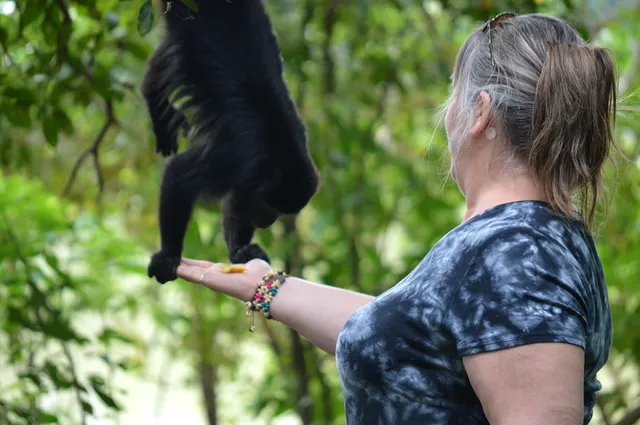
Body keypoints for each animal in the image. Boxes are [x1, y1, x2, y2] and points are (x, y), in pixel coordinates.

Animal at [141, 0, 320, 284]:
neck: (277, 157)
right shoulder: (234, 159)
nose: (268, 222)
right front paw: (168, 256)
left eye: (280, 213)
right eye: (269, 206)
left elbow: (235, 201)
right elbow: (179, 174)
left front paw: (240, 251)